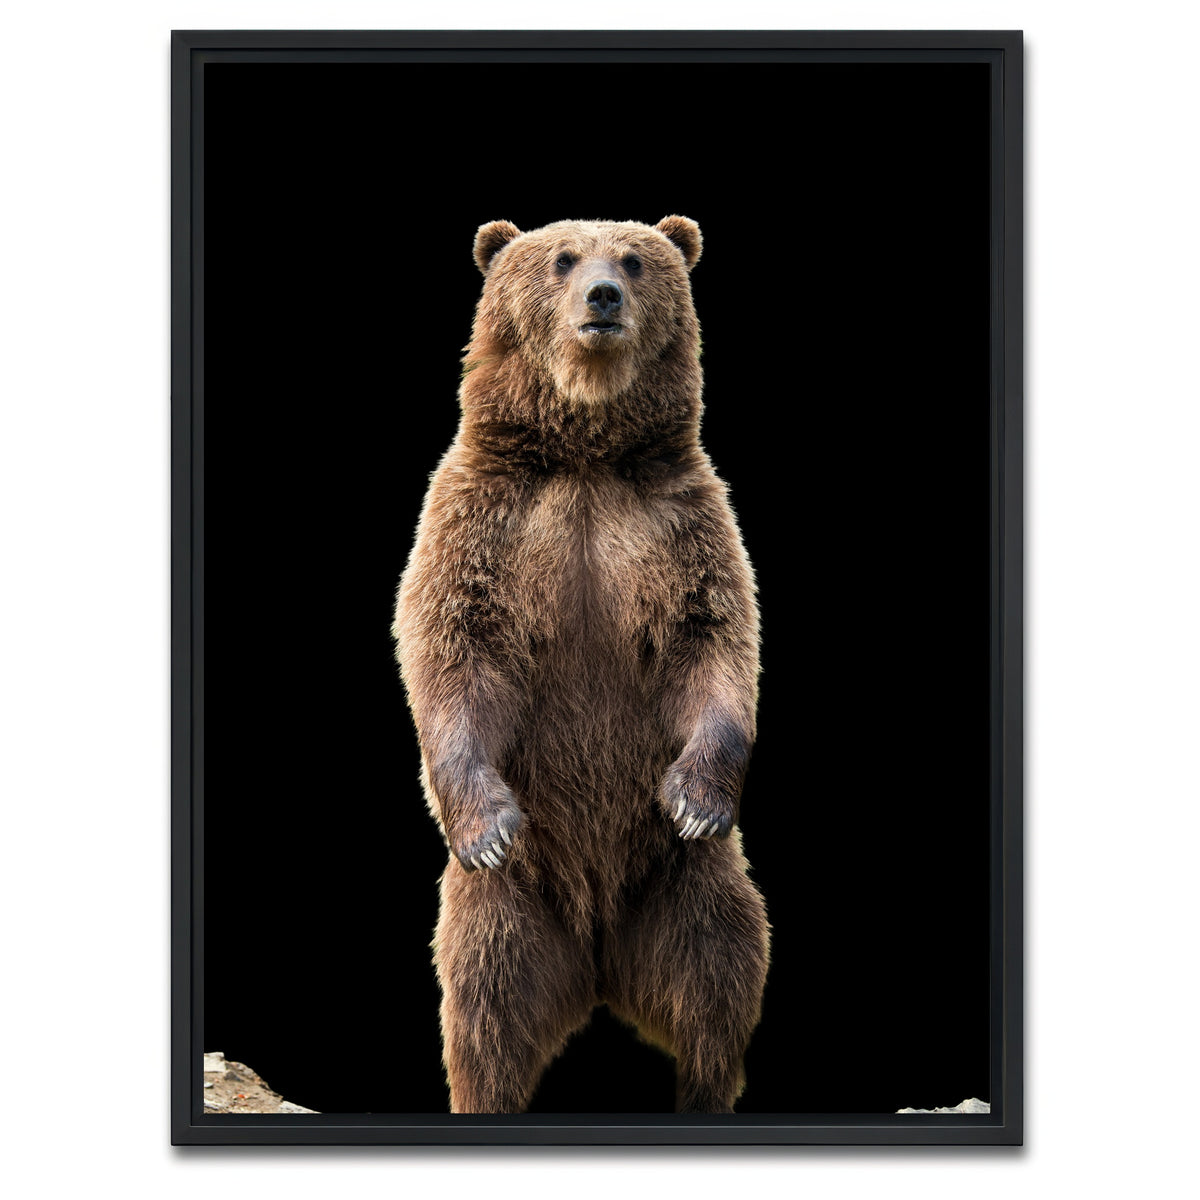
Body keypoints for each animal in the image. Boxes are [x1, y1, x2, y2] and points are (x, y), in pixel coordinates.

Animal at [392, 216, 769, 1114]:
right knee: (484, 1006)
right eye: (562, 259)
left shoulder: (678, 523)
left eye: (633, 260)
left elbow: (713, 643)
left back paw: (704, 1088)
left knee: (720, 975)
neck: (586, 454)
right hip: (513, 908)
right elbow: (454, 650)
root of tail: (598, 964)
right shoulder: (484, 519)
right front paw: (489, 824)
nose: (603, 296)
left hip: (683, 887)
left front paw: (696, 798)